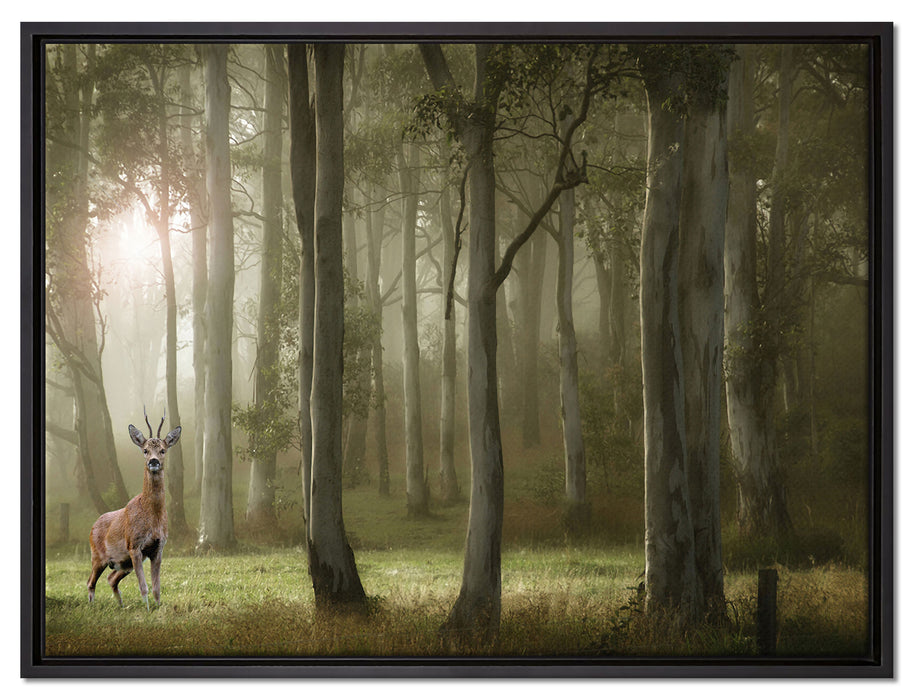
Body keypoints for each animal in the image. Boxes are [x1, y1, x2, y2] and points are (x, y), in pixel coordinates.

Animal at [87, 409, 181, 610]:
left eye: (163, 450)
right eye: (145, 450)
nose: (153, 461)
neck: (153, 517)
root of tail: (93, 525)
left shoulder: (158, 547)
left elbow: (156, 587)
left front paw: (158, 607)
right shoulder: (134, 545)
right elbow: (143, 586)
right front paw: (147, 610)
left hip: (123, 563)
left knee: (111, 579)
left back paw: (121, 606)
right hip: (98, 556)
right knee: (90, 581)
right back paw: (92, 606)